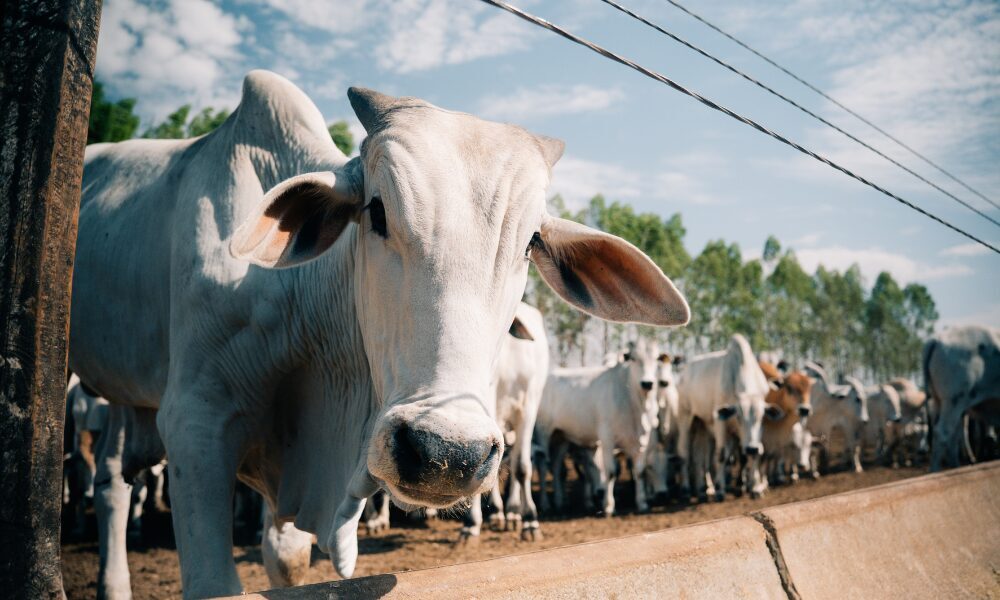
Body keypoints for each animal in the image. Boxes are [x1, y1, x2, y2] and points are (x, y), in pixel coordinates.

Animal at [536, 338, 668, 516]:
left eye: (655, 359)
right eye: (633, 358)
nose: (647, 383)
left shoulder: (642, 440)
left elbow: (639, 471)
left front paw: (642, 503)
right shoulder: (607, 438)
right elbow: (611, 472)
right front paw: (608, 506)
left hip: (561, 437)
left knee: (556, 466)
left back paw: (559, 502)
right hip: (543, 432)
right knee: (543, 466)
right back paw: (545, 503)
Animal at [676, 332, 776, 502]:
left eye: (761, 417)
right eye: (739, 417)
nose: (752, 447)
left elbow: (748, 456)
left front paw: (753, 488)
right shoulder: (720, 422)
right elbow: (722, 455)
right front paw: (721, 491)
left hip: (702, 424)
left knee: (700, 456)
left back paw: (703, 490)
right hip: (686, 417)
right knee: (685, 453)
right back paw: (686, 490)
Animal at [920, 326, 1000, 472]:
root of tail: (936, 340)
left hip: (942, 402)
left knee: (952, 438)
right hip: (954, 401)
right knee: (943, 434)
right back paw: (937, 471)